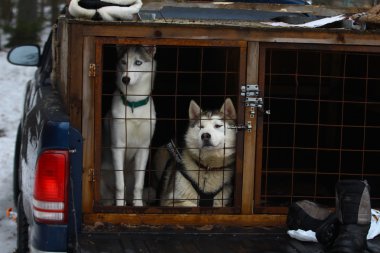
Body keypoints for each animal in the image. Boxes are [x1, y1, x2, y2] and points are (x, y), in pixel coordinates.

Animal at [102, 45, 156, 207]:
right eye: (123, 62)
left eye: (138, 62)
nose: (125, 79)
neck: (133, 103)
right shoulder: (118, 147)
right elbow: (120, 185)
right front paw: (120, 207)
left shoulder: (143, 148)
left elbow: (139, 184)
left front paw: (138, 206)